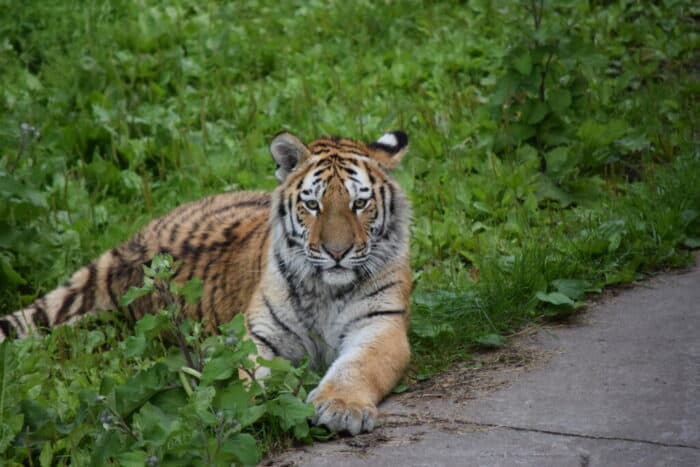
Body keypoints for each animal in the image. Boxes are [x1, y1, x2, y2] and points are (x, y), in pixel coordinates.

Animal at [1, 130, 412, 435]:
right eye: (313, 205)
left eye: (359, 204)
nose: (336, 252)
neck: (327, 287)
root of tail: (132, 243)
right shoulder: (261, 334)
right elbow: (246, 375)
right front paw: (241, 408)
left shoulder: (380, 324)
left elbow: (358, 367)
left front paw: (340, 409)